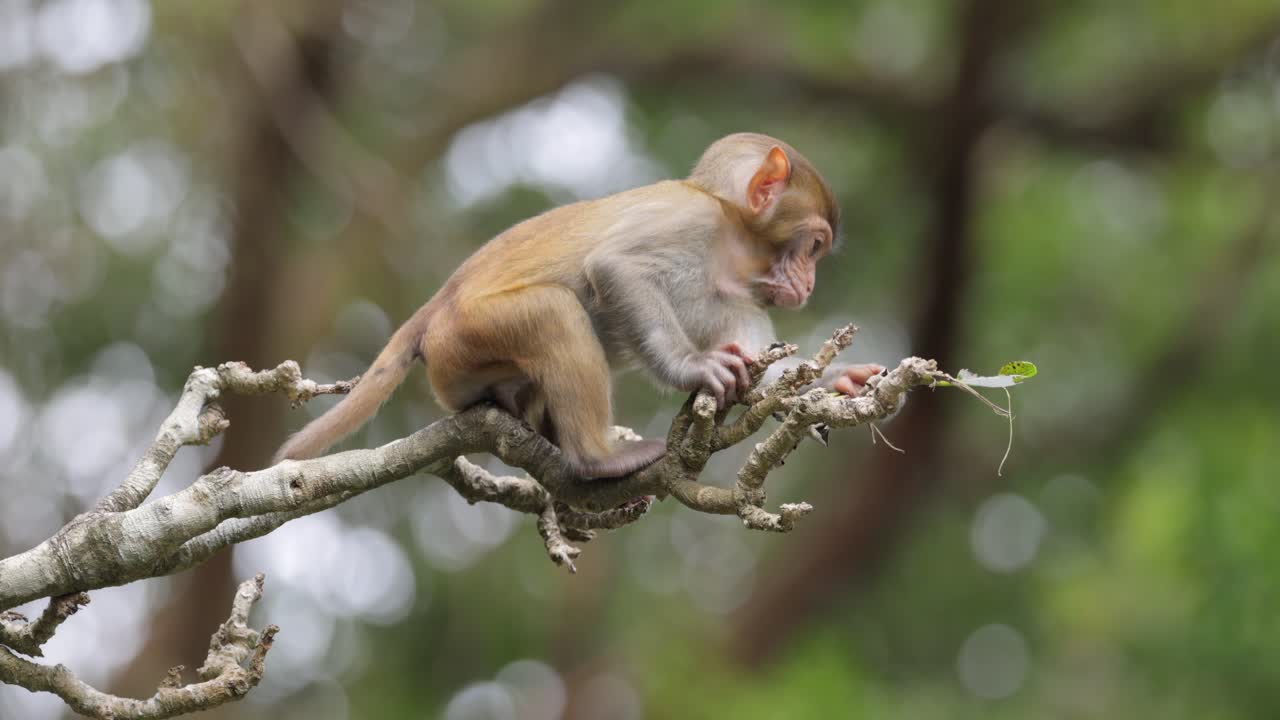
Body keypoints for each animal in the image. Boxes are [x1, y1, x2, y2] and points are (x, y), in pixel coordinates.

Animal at [273, 132, 885, 478]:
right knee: (553, 312)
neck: (729, 248)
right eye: (814, 246)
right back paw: (596, 458)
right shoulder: (691, 219)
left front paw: (840, 381)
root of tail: (434, 307)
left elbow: (763, 365)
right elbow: (614, 267)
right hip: (464, 336)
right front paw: (695, 368)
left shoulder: (745, 302)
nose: (808, 283)